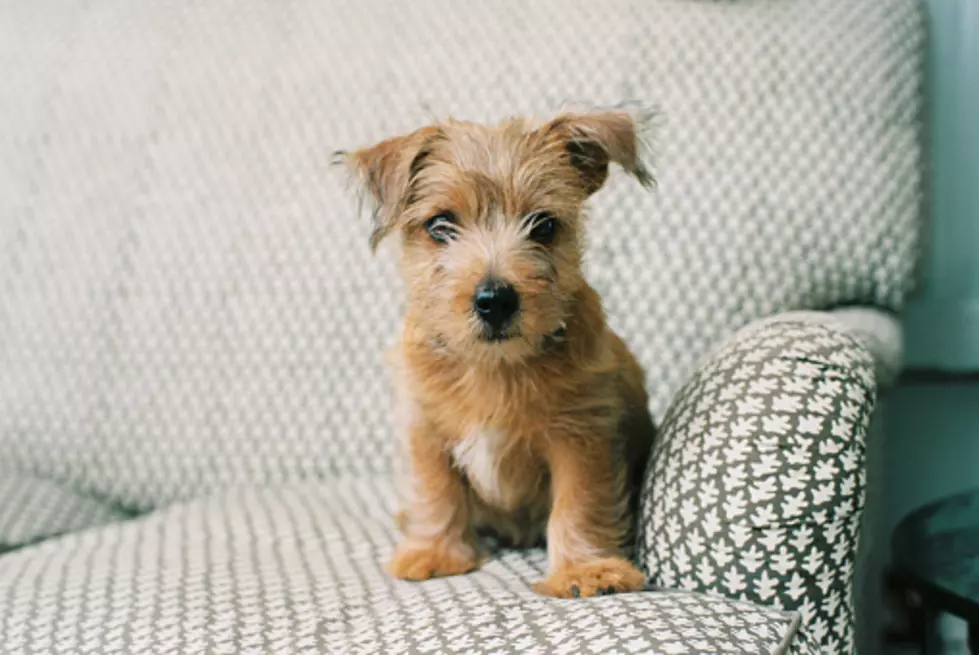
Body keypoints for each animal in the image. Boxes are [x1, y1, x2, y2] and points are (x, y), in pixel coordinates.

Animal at [342, 113, 660, 600]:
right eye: (440, 225)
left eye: (544, 226)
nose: (495, 300)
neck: (492, 367)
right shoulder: (424, 426)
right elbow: (435, 488)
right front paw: (434, 551)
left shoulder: (582, 433)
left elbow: (580, 500)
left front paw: (585, 569)